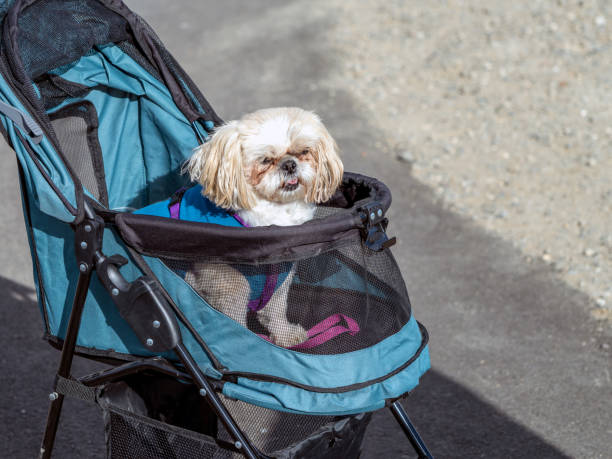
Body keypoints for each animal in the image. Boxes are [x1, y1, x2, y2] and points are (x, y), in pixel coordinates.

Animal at [184, 107, 342, 344]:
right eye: (266, 160)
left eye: (303, 152)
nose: (289, 164)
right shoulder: (230, 286)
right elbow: (234, 321)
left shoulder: (280, 279)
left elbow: (275, 310)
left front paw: (285, 336)